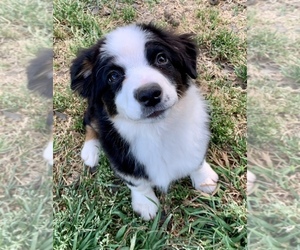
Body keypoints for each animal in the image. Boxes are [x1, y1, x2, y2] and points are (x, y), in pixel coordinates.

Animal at [71, 23, 219, 219]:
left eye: (161, 58)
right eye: (113, 76)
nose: (149, 94)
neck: (157, 130)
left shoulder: (197, 135)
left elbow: (196, 159)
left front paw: (204, 179)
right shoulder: (122, 158)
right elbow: (137, 182)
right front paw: (146, 204)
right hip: (95, 108)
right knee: (89, 121)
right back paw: (90, 151)